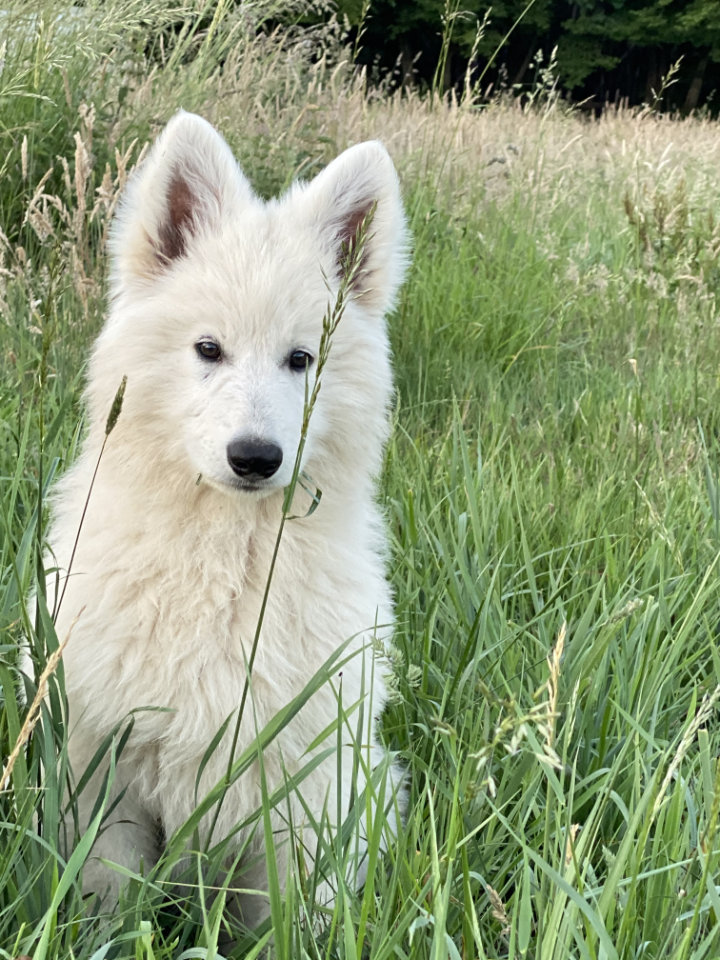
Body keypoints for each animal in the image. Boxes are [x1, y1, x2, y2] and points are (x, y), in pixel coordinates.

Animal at [47, 110, 410, 924]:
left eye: (302, 359)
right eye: (208, 349)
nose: (255, 457)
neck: (224, 557)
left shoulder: (302, 782)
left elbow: (289, 915)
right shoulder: (105, 770)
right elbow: (109, 894)